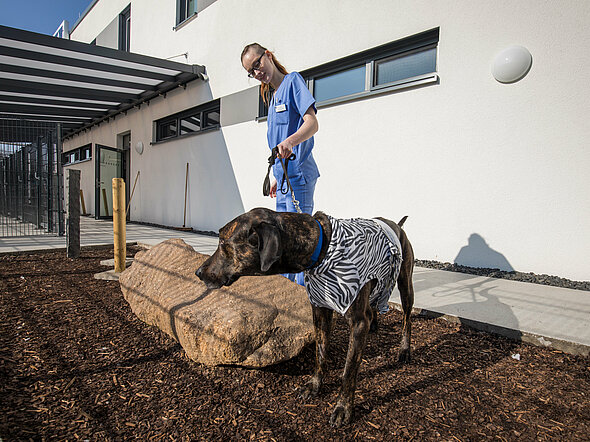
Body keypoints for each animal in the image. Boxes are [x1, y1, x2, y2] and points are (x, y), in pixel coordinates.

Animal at [195, 209, 416, 426]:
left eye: (223, 244)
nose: (198, 272)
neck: (322, 249)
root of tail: (396, 225)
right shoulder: (319, 311)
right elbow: (320, 354)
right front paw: (314, 386)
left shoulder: (357, 322)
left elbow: (348, 371)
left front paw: (343, 408)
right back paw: (375, 324)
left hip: (405, 283)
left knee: (407, 318)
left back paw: (404, 350)